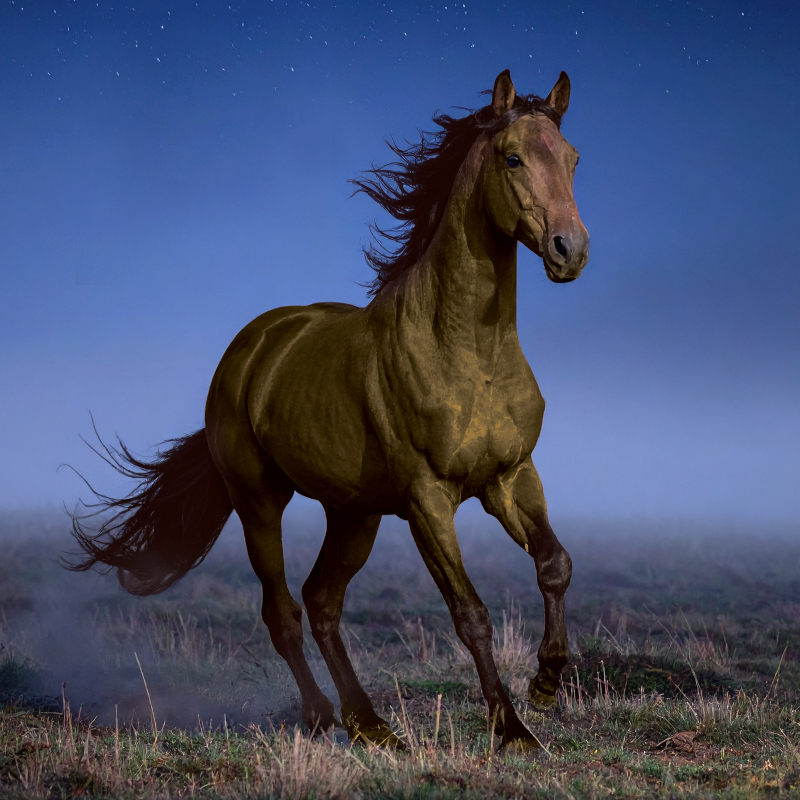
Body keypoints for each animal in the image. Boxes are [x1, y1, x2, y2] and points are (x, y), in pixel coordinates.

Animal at [66, 69, 589, 750]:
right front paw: (512, 728)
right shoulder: (429, 500)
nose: (569, 250)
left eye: (573, 159)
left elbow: (555, 564)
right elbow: (470, 614)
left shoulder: (510, 476)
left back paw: (370, 725)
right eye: (513, 158)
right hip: (259, 502)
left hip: (354, 515)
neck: (469, 353)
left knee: (321, 602)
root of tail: (251, 348)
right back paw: (323, 717)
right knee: (283, 611)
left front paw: (546, 684)